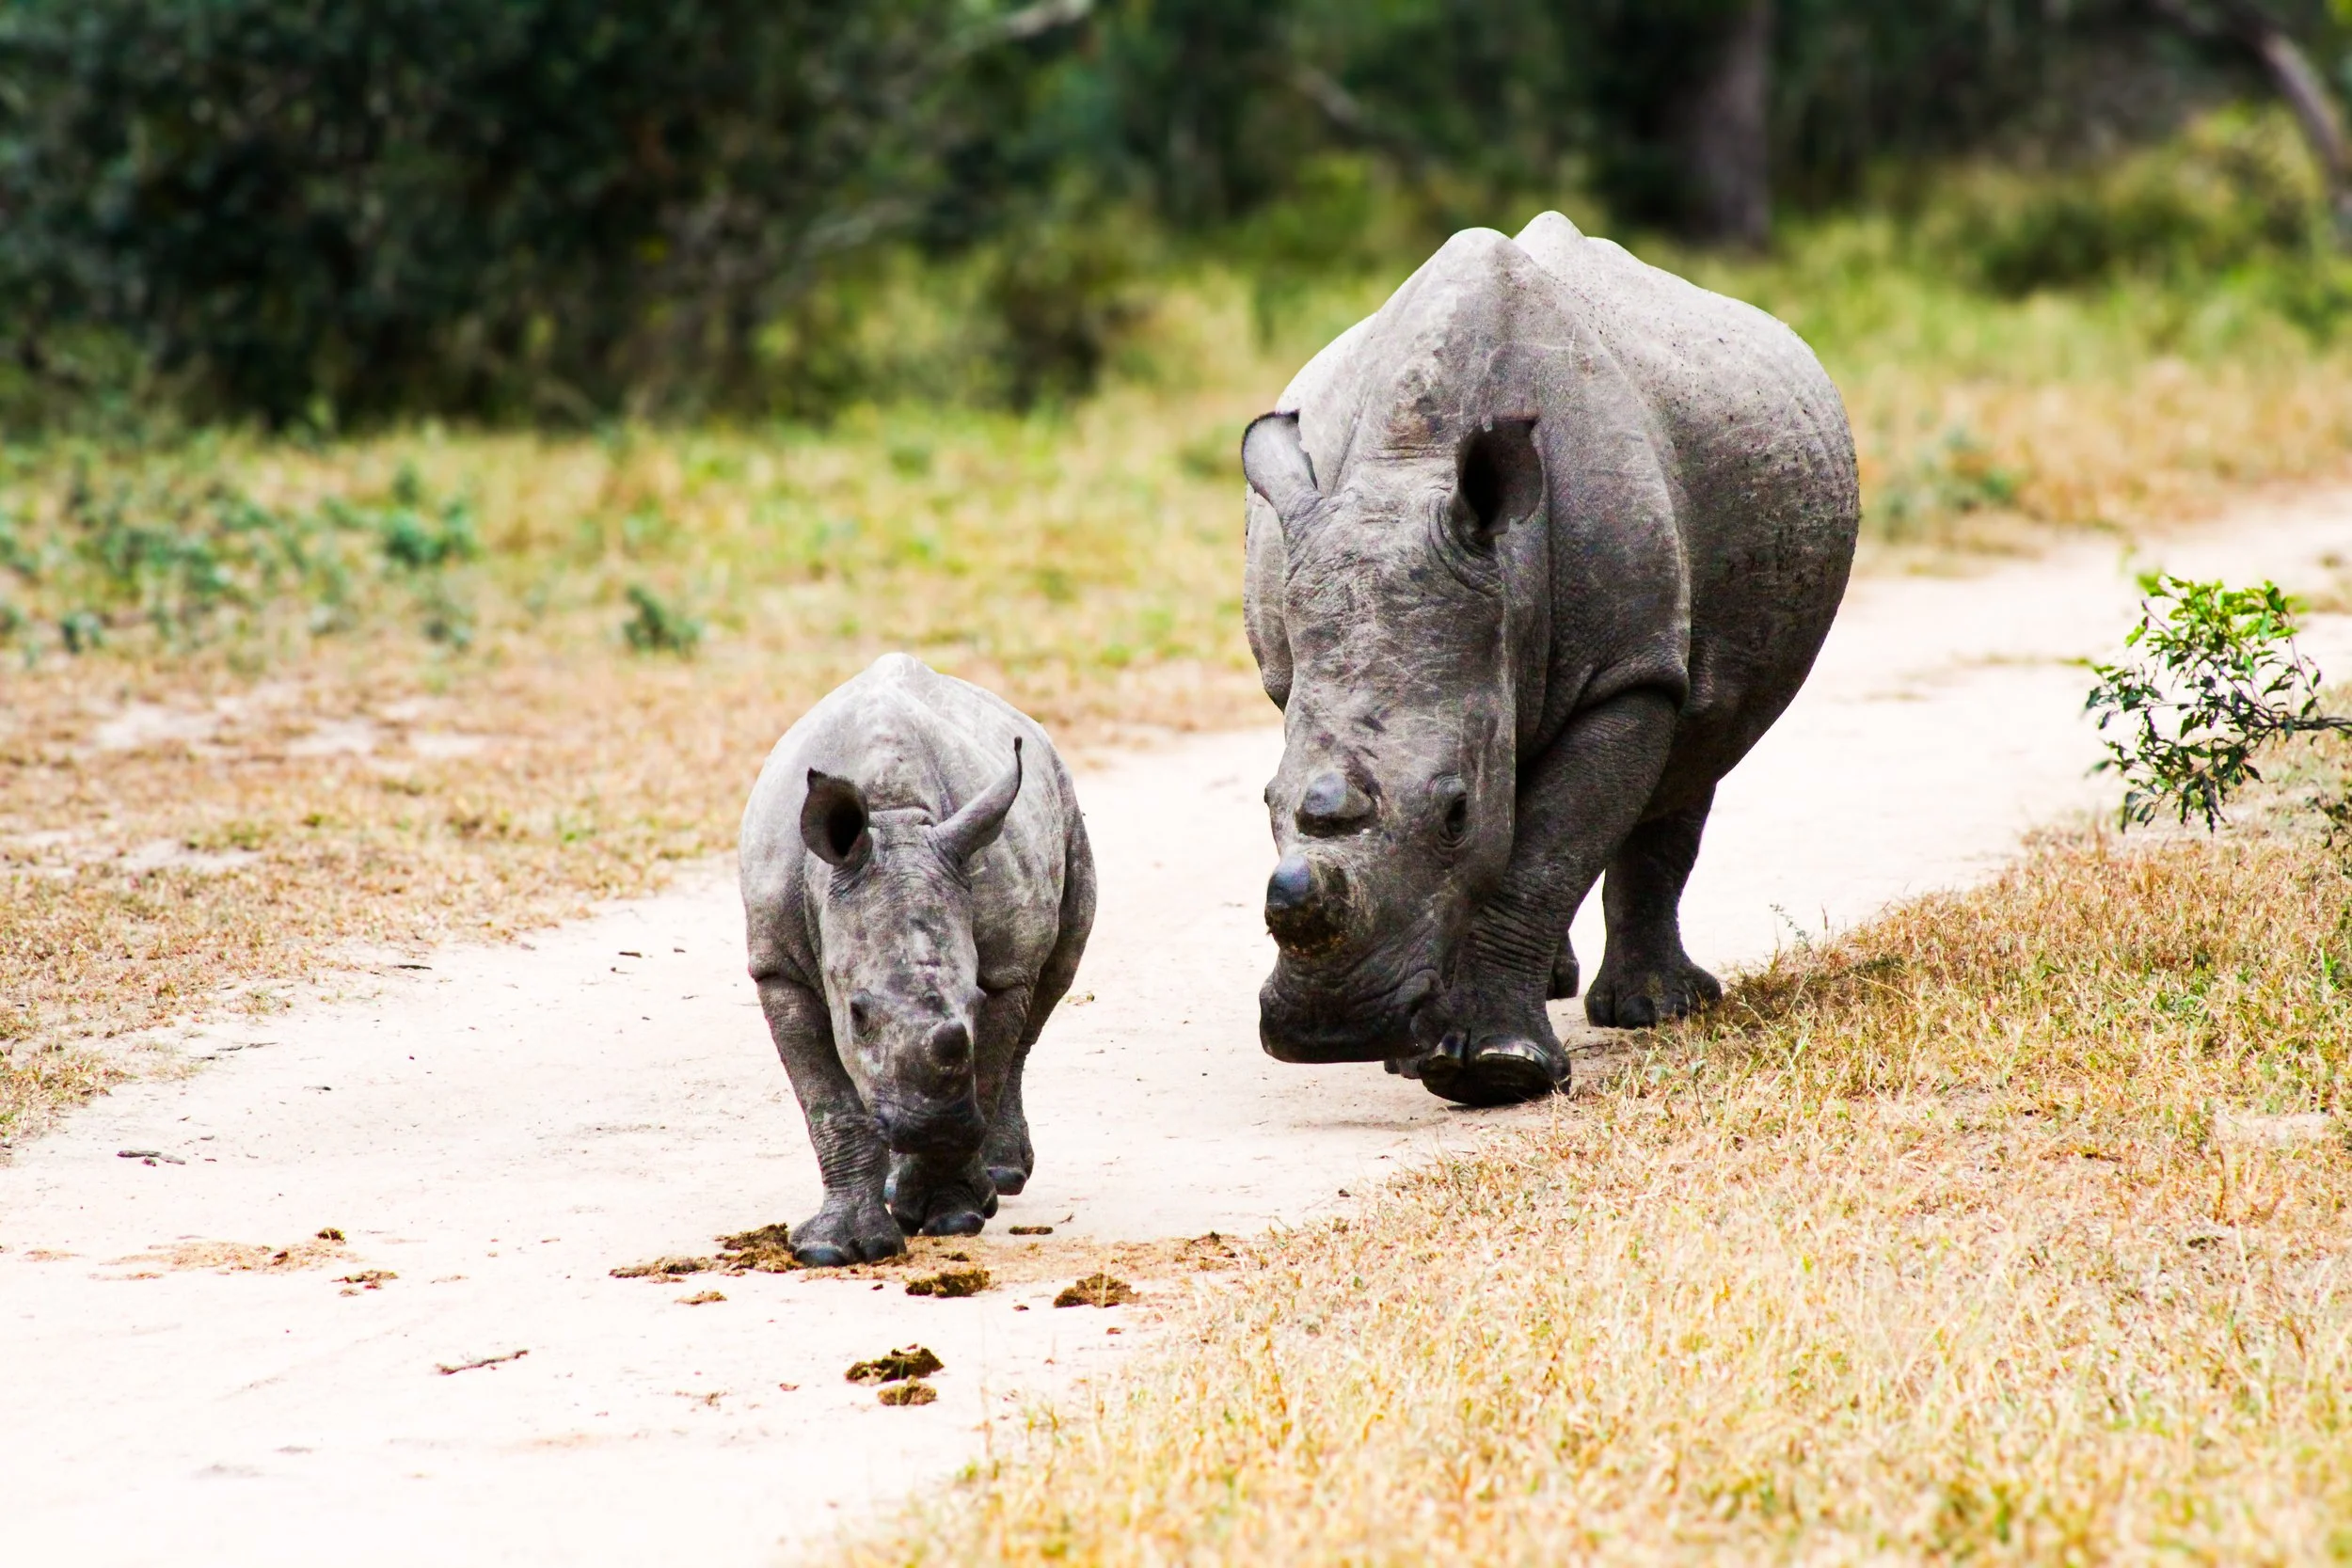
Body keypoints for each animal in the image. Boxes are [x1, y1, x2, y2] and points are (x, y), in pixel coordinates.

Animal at [739, 654, 1095, 1264]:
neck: (894, 819)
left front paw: (950, 1214)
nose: (936, 1127)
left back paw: (996, 1178)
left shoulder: (1003, 971)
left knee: (1047, 991)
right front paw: (832, 1250)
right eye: (857, 1015)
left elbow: (988, 1064)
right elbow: (828, 1104)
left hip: (1064, 802)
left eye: (975, 999)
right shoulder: (776, 966)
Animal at [1242, 212, 1859, 1107]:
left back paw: (1654, 1008)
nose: (1331, 1032)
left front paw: (1497, 1070)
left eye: (1456, 811)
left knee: (1696, 747)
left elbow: (1546, 851)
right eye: (1266, 800)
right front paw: (1428, 1054)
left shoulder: (1627, 672)